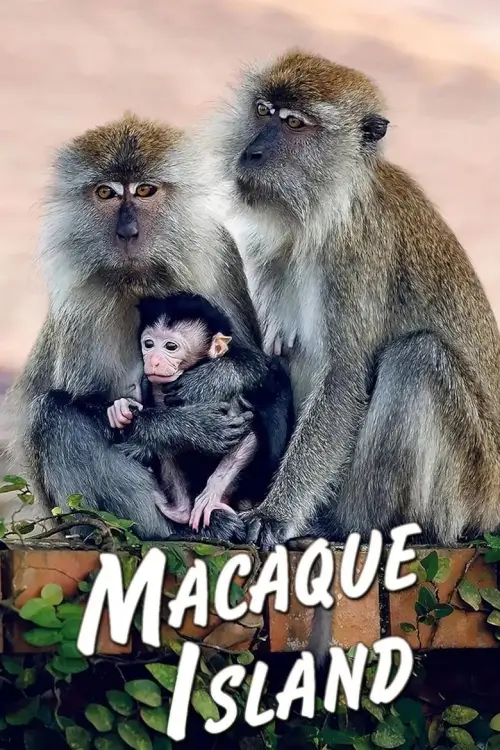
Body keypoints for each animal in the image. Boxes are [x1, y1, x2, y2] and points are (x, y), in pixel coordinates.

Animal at [107, 292, 294, 532]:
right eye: (148, 344)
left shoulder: (226, 399)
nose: (153, 361)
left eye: (170, 346)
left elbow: (247, 437)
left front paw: (211, 493)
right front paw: (121, 410)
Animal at [209, 49, 500, 554]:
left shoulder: (355, 254)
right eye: (263, 111)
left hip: (471, 488)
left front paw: (275, 514)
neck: (326, 210)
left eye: (295, 123)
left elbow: (343, 379)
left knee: (418, 359)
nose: (252, 152)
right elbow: (275, 360)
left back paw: (350, 525)